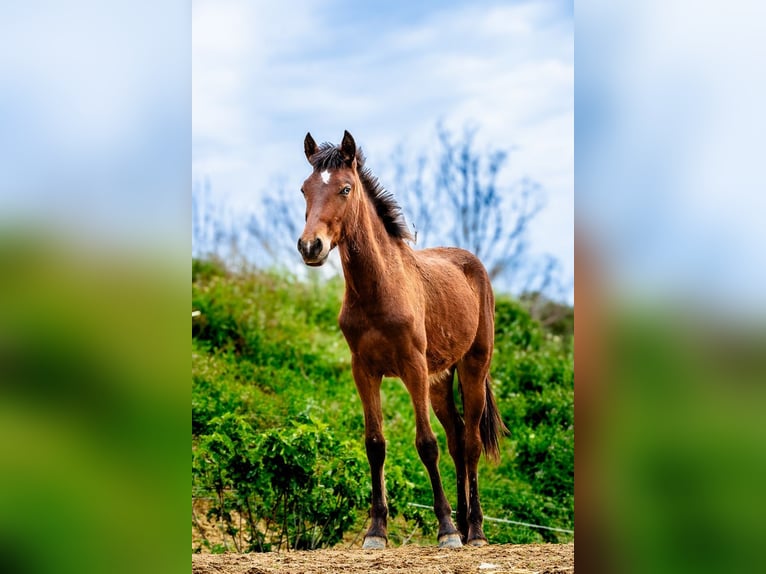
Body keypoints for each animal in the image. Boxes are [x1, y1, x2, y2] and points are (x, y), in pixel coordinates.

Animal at [297, 130, 507, 549]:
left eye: (345, 188)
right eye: (304, 189)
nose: (311, 247)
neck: (379, 289)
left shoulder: (412, 367)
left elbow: (426, 444)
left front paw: (445, 529)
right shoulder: (364, 370)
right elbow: (375, 444)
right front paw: (376, 531)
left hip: (473, 368)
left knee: (471, 442)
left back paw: (473, 531)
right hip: (440, 381)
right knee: (457, 438)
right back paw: (464, 524)